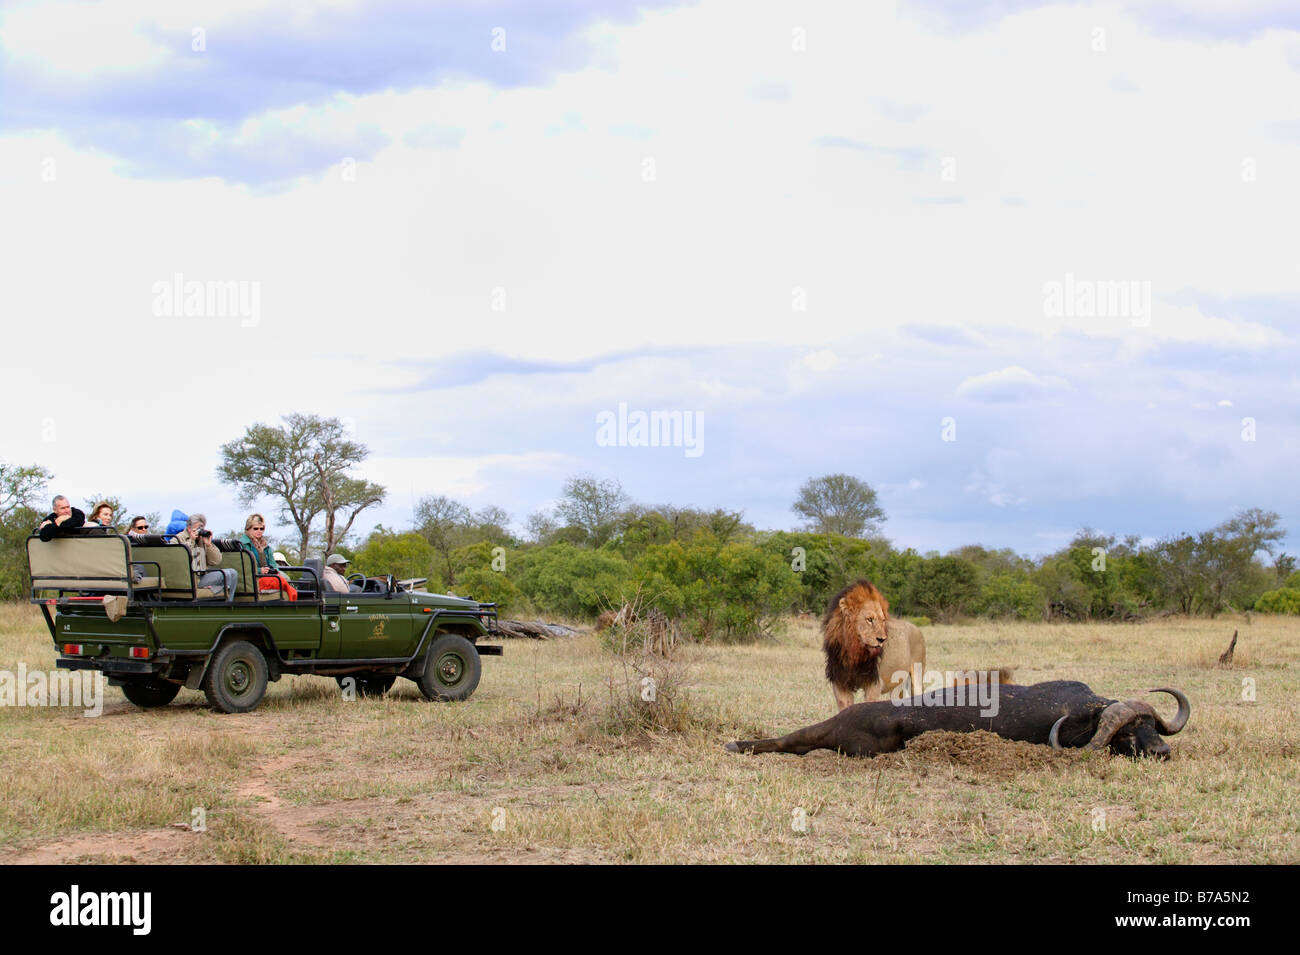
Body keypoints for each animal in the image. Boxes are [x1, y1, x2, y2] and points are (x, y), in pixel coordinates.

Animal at [821, 579, 925, 712]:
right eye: (869, 619)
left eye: (883, 620)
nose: (882, 639)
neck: (854, 652)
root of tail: (917, 628)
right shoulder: (840, 683)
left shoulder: (874, 684)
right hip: (898, 683)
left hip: (917, 674)